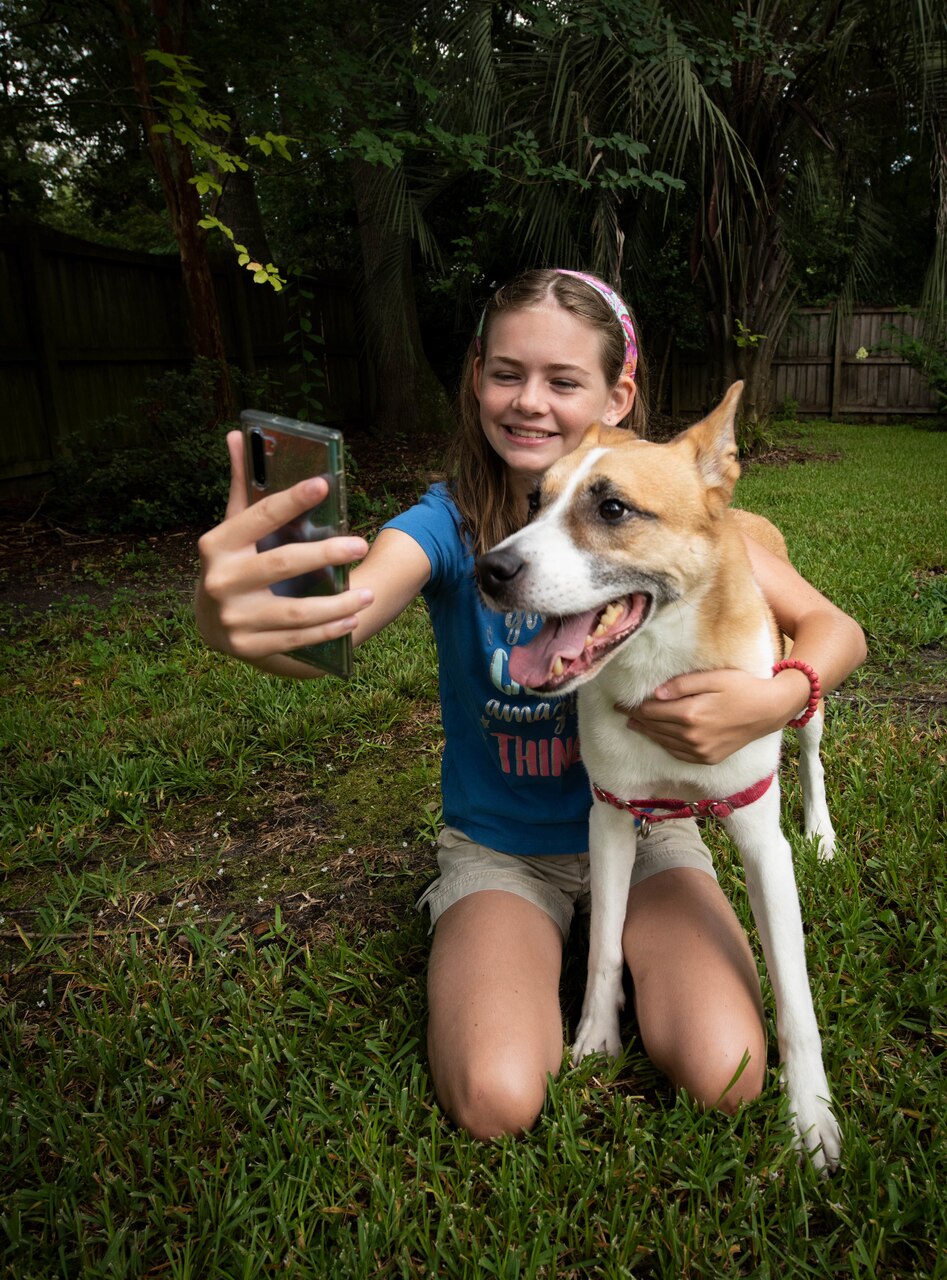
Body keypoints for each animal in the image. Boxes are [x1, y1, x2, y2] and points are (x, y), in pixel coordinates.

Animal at [476, 378, 839, 1172]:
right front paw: (595, 1040)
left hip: (803, 694)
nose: (489, 570)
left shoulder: (762, 842)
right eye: (533, 500)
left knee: (811, 751)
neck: (663, 668)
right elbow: (606, 947)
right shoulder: (610, 816)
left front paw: (811, 1114)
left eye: (612, 508)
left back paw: (824, 831)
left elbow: (795, 994)